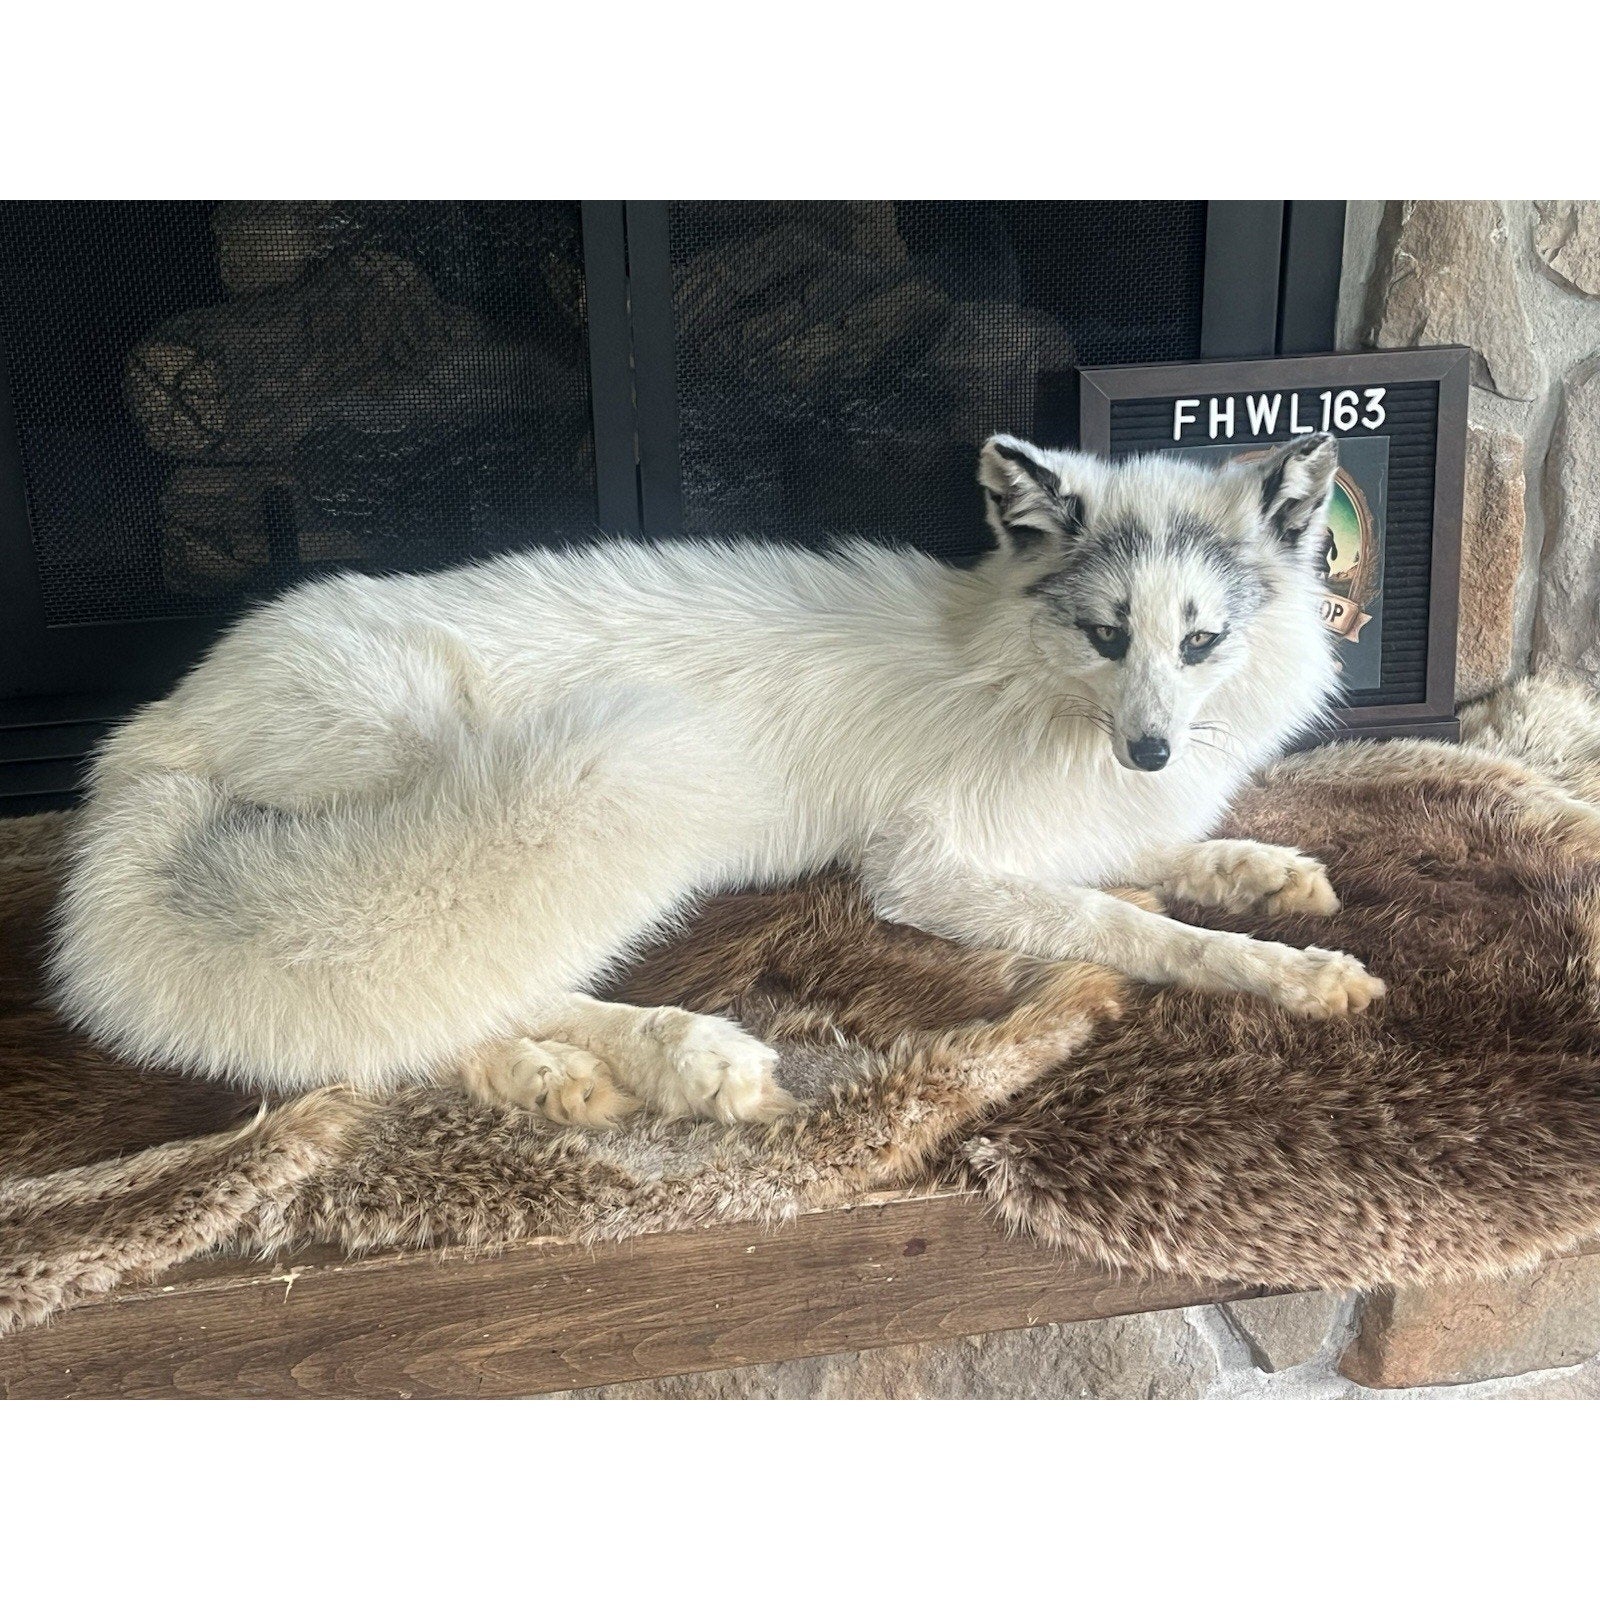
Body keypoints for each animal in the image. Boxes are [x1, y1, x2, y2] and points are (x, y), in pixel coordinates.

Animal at [50, 431, 1383, 1127]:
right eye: (1109, 634)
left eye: (1199, 642)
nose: (1149, 749)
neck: (1009, 668)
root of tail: (157, 724)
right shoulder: (923, 870)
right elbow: (1134, 927)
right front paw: (1273, 968)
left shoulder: (1079, 825)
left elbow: (1174, 863)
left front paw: (1273, 883)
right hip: (575, 812)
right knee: (440, 993)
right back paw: (670, 1054)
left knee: (409, 1014)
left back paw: (552, 1073)